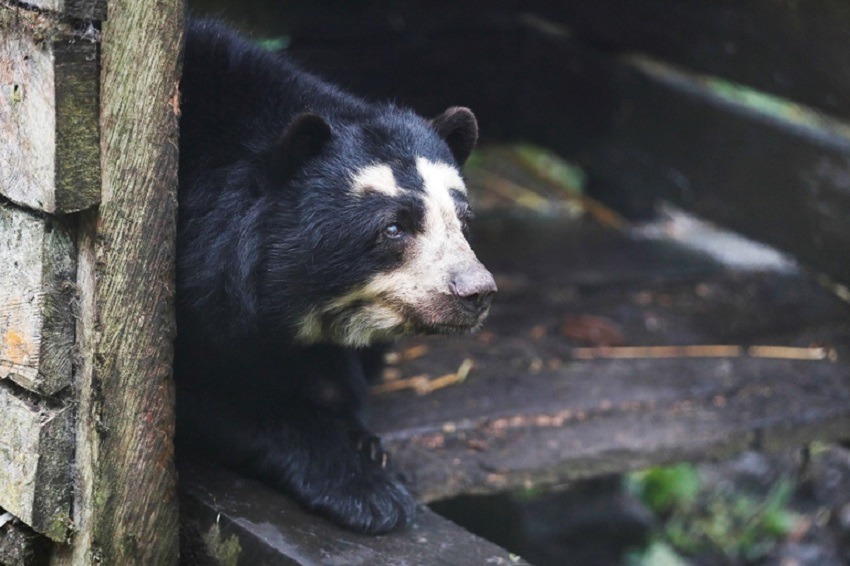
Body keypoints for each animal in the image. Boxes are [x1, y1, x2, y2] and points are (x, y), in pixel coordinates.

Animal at [177, 21, 496, 536]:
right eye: (394, 227)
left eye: (462, 222)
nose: (476, 293)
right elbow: (214, 394)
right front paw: (365, 488)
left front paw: (367, 443)